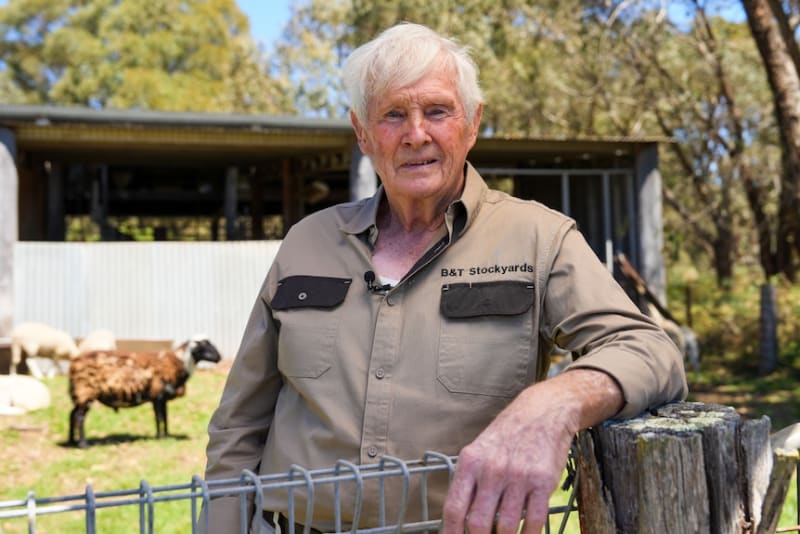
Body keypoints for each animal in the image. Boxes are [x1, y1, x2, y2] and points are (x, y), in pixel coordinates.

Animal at [67, 336, 222, 448]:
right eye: (203, 344)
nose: (219, 357)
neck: (178, 363)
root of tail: (73, 364)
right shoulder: (158, 395)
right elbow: (159, 418)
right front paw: (160, 437)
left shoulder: (161, 397)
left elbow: (164, 417)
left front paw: (166, 435)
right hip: (85, 392)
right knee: (79, 417)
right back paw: (83, 444)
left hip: (80, 395)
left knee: (72, 415)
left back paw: (72, 441)